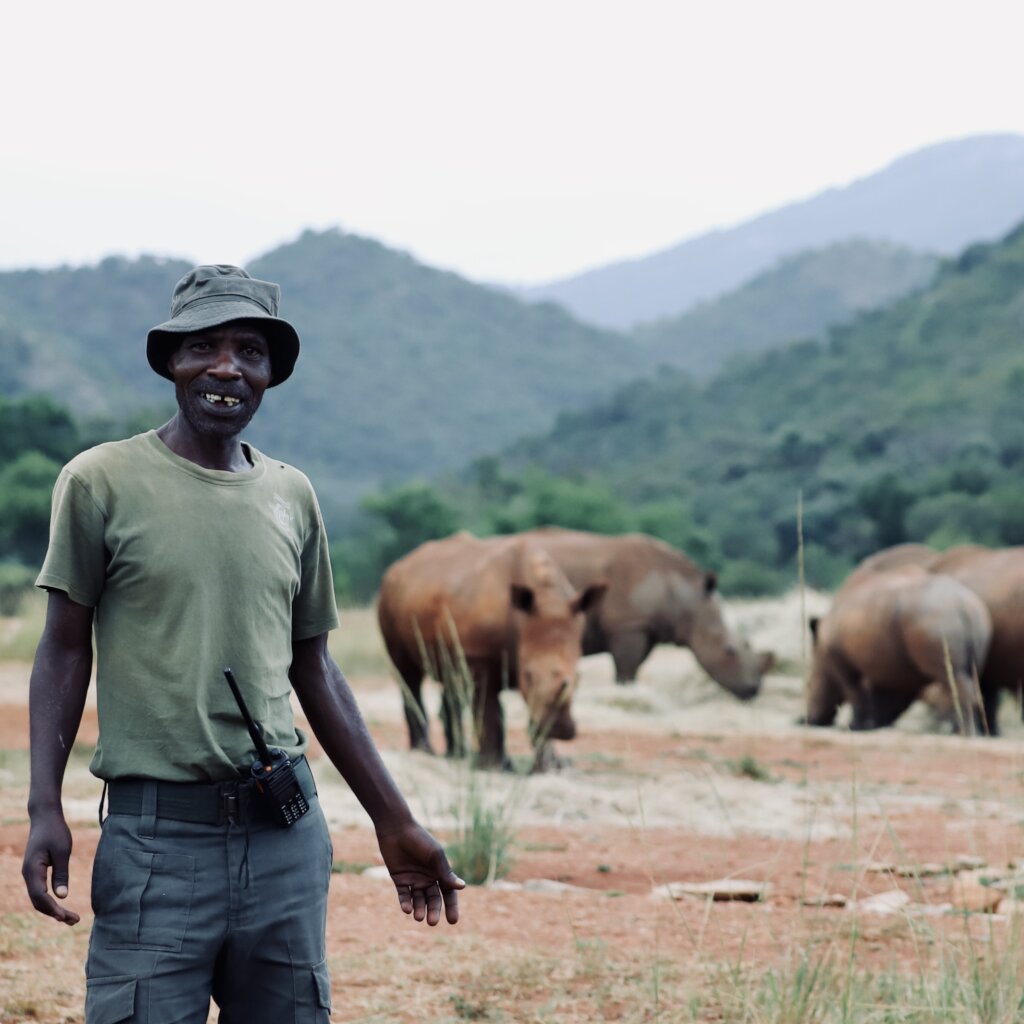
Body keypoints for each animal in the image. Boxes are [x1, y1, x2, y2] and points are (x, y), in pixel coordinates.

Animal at [376, 532, 606, 770]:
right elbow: (489, 710)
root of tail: (398, 566)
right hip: (388, 599)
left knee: (451, 679)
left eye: (578, 678)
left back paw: (456, 755)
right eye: (527, 675)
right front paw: (494, 766)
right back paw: (425, 751)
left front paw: (551, 767)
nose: (561, 730)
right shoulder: (481, 655)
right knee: (408, 674)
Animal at [522, 527, 773, 697]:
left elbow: (632, 670)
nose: (753, 689)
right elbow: (626, 671)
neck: (686, 597)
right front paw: (625, 695)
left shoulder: (646, 628)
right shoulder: (628, 625)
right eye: (729, 650)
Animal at [804, 566, 991, 734]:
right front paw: (873, 724)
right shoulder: (891, 662)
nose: (808, 719)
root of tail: (963, 605)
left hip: (935, 619)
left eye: (809, 685)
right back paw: (968, 730)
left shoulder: (839, 659)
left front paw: (855, 726)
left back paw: (965, 732)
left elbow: (853, 689)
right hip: (971, 620)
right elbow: (885, 695)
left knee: (952, 676)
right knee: (970, 674)